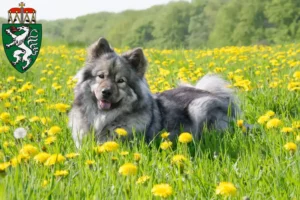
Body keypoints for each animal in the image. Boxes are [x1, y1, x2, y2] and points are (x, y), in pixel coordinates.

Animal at [68, 37, 239, 148]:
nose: (106, 92)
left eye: (121, 81)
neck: (103, 118)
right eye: (101, 76)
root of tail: (219, 97)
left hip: (198, 107)